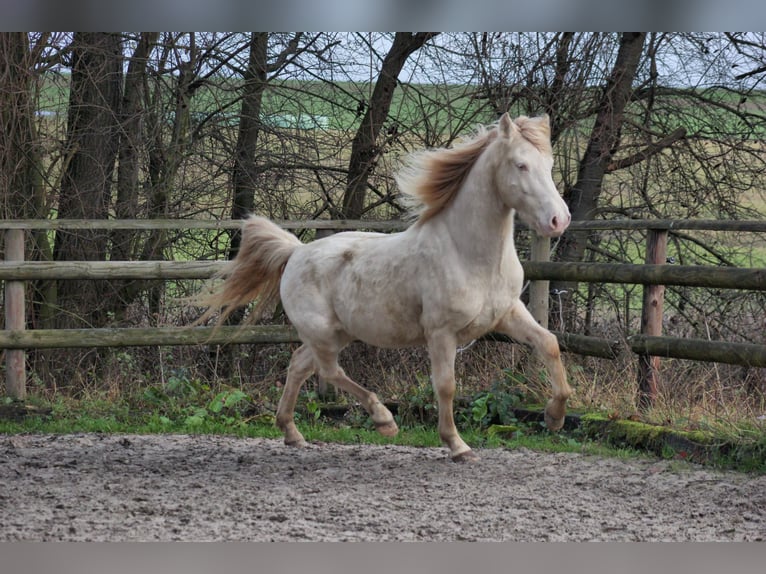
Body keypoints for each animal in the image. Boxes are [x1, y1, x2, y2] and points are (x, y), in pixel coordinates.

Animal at [195, 113, 572, 464]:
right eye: (520, 165)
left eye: (550, 164)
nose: (559, 220)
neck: (468, 253)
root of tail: (296, 252)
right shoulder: (441, 332)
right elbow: (446, 386)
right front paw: (458, 446)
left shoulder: (508, 314)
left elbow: (549, 344)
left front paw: (554, 417)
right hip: (324, 333)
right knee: (328, 370)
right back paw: (383, 420)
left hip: (336, 333)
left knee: (300, 364)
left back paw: (292, 433)